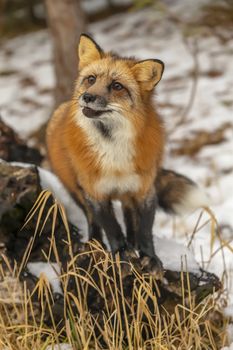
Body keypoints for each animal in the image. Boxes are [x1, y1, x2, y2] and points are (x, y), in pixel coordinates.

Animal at [46, 34, 208, 274]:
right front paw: (121, 255)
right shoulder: (95, 193)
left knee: (130, 222)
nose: (87, 97)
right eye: (91, 79)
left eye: (117, 86)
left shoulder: (144, 189)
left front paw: (150, 258)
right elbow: (111, 228)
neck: (114, 154)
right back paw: (94, 244)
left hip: (128, 194)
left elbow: (144, 230)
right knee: (93, 221)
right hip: (76, 189)